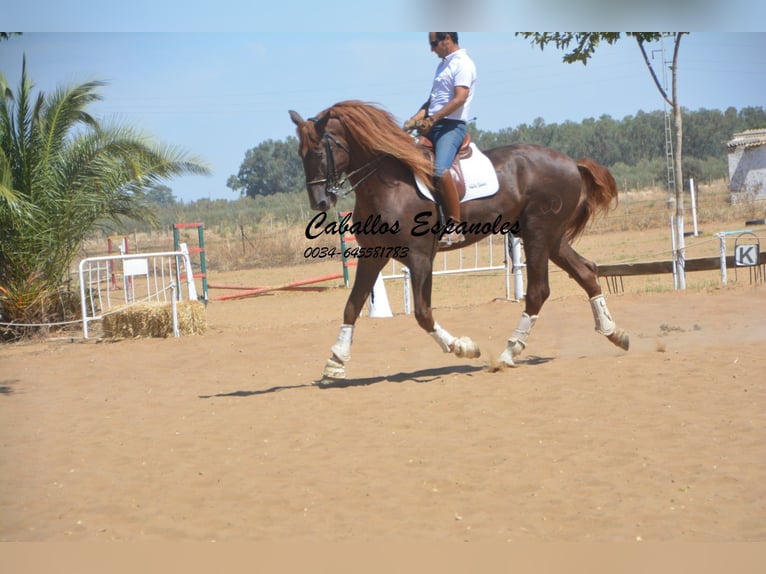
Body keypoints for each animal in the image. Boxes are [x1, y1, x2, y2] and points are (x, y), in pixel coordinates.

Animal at [290, 101, 632, 384]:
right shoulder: (374, 254)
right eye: (300, 155)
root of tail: (572, 163)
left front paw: (463, 347)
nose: (320, 202)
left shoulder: (419, 257)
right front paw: (335, 363)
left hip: (537, 234)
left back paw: (508, 353)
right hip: (552, 238)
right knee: (586, 271)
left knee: (538, 291)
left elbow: (423, 313)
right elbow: (351, 306)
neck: (387, 184)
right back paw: (614, 332)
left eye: (318, 153)